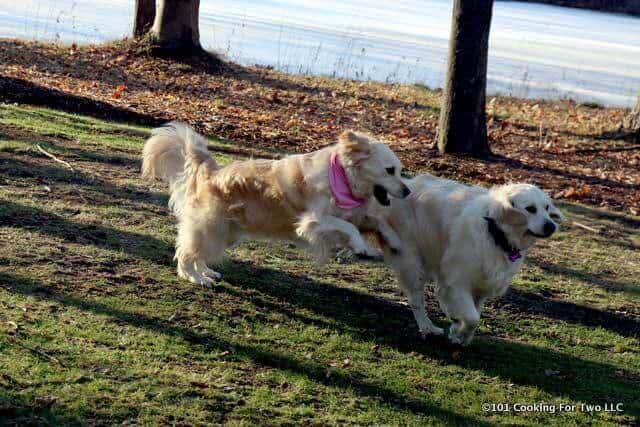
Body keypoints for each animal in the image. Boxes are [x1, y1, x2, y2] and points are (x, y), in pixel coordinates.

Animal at [141, 122, 410, 286]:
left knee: (198, 252)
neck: (342, 175)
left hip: (225, 232)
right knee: (185, 252)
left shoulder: (352, 214)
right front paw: (362, 246)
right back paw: (195, 278)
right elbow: (349, 228)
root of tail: (212, 173)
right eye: (390, 170)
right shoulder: (313, 222)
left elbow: (376, 222)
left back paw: (206, 271)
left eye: (400, 171)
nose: (407, 191)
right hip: (211, 229)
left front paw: (393, 242)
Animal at [370, 176, 564, 346]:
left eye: (547, 207)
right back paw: (427, 327)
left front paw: (459, 333)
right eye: (530, 208)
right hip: (411, 261)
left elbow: (474, 313)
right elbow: (472, 318)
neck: (494, 232)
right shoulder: (457, 282)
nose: (551, 226)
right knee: (416, 299)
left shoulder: (480, 287)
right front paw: (459, 328)